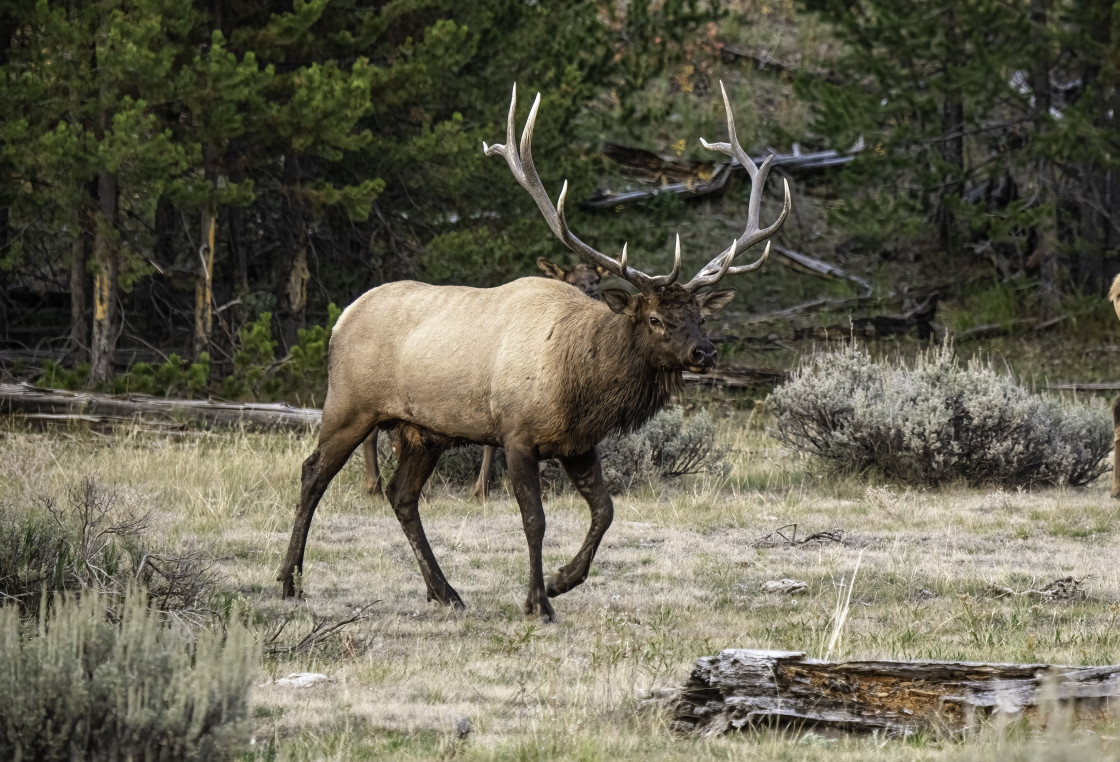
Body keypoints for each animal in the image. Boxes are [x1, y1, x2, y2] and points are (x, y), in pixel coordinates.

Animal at [360, 258, 609, 502]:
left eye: (596, 278)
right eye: (571, 279)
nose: (591, 291)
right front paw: (482, 490)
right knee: (370, 431)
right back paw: (375, 489)